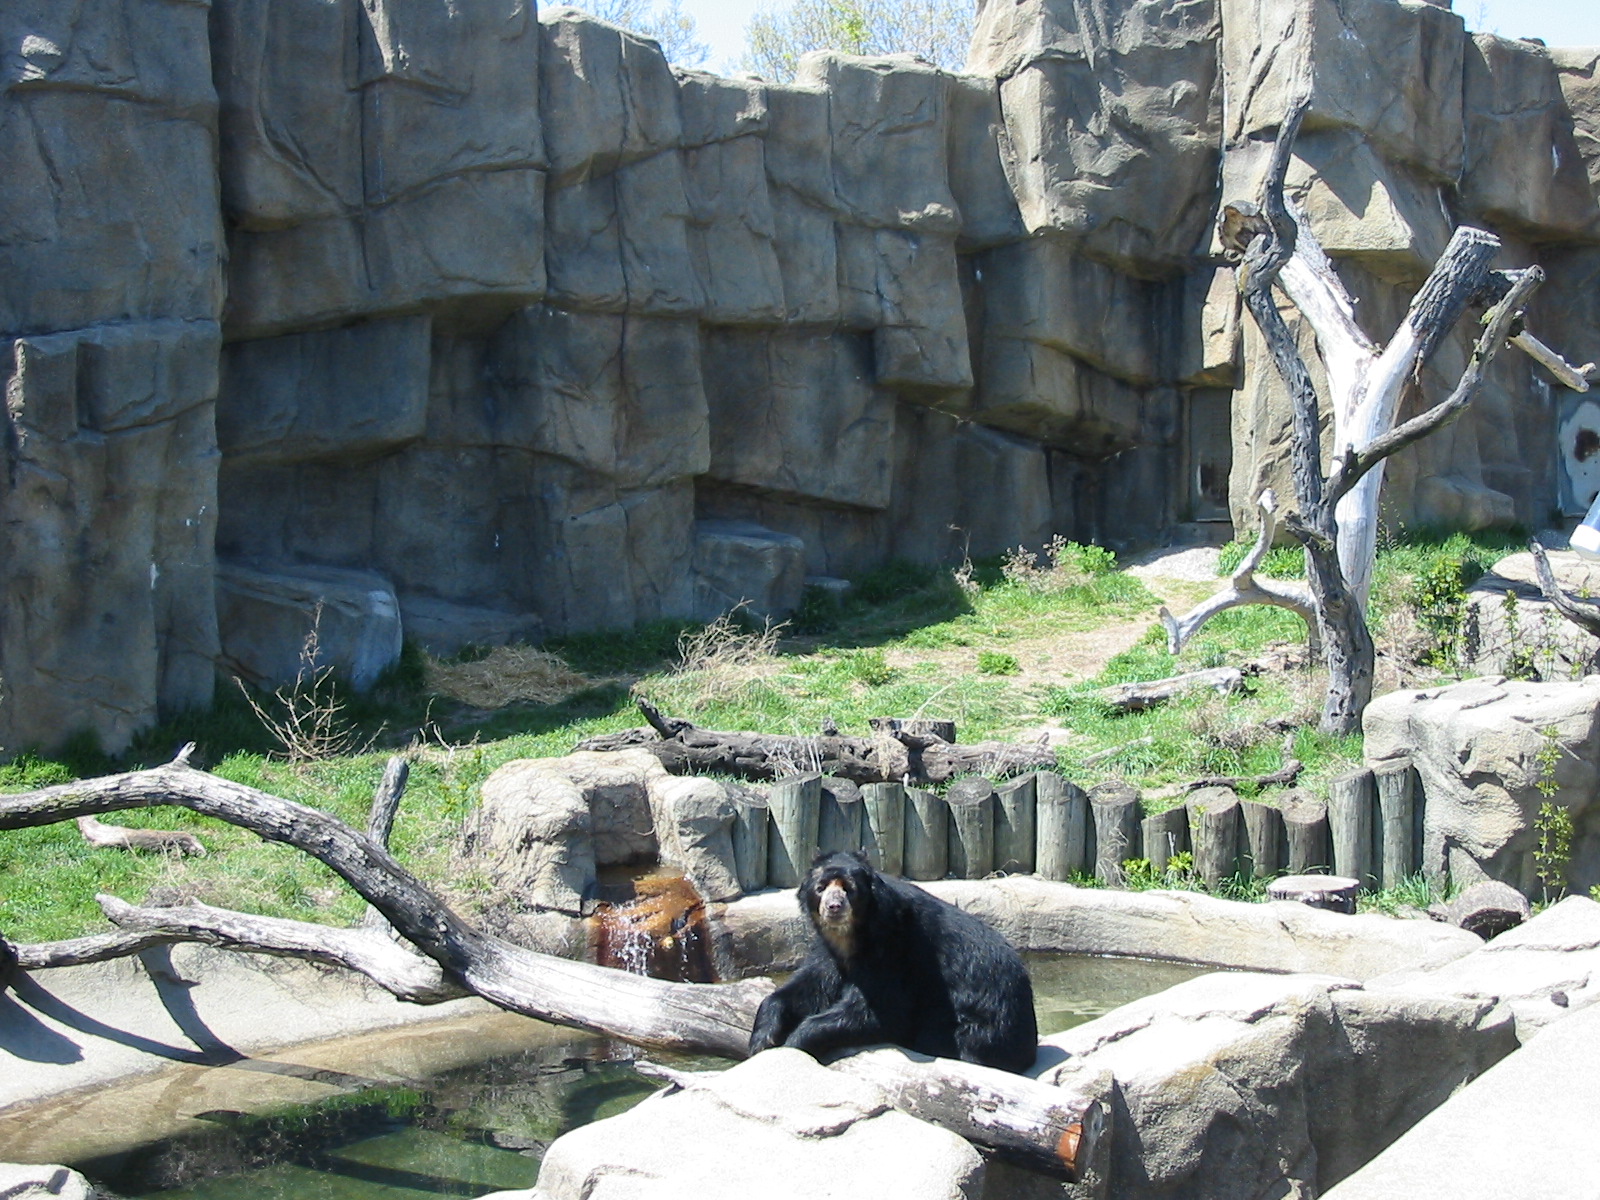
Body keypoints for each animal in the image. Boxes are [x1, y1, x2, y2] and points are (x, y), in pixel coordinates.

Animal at [748, 850, 1038, 1073]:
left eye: (849, 889)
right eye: (820, 888)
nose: (833, 907)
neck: (853, 934)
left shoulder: (892, 948)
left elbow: (881, 1010)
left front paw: (795, 1042)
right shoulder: (829, 949)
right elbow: (811, 985)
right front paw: (762, 1038)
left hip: (981, 1027)